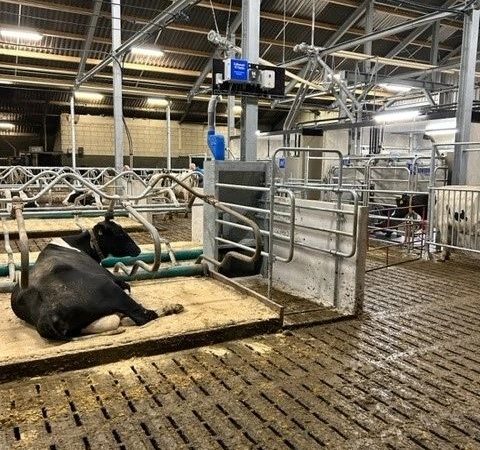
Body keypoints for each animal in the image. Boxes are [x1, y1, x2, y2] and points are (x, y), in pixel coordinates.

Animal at [11, 214, 183, 340]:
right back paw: (172, 308)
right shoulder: (111, 277)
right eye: (120, 232)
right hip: (108, 286)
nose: (138, 250)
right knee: (142, 316)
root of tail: (47, 314)